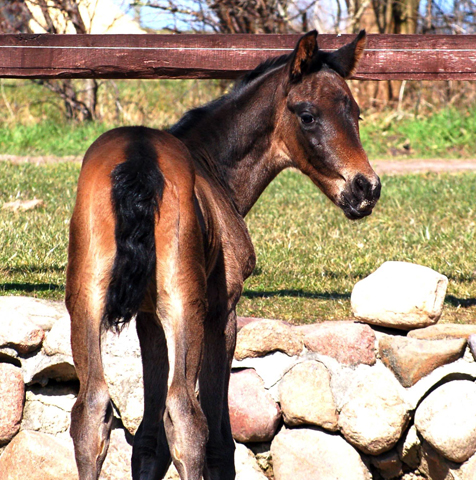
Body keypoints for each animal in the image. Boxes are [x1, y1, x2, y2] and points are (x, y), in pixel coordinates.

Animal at [65, 30, 382, 480]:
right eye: (307, 115)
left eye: (355, 112)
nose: (365, 188)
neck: (213, 170)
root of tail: (139, 157)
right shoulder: (222, 312)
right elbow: (219, 441)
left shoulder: (147, 319)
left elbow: (147, 441)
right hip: (185, 306)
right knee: (186, 415)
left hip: (86, 301)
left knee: (91, 410)